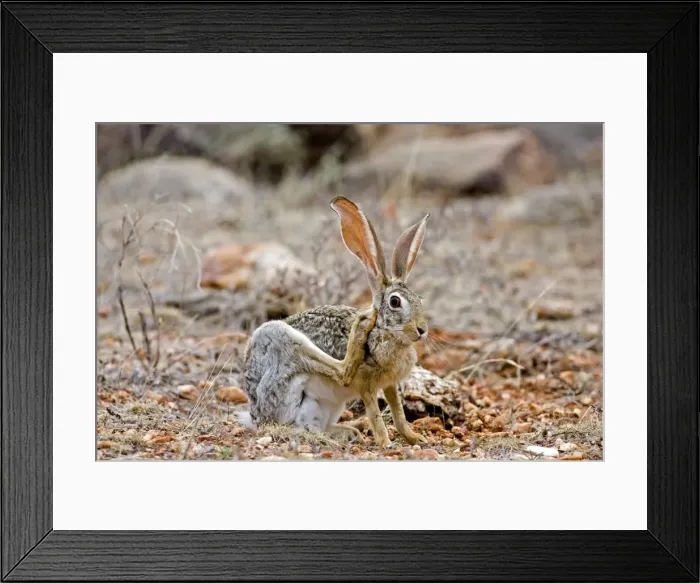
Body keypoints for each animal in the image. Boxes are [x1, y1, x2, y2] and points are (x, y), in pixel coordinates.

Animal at [240, 196, 430, 448]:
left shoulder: (390, 384)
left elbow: (399, 413)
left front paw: (415, 437)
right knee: (341, 373)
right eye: (395, 302)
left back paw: (350, 432)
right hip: (279, 341)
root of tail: (255, 415)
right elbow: (375, 415)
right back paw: (361, 326)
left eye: (420, 299)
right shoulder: (366, 386)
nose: (422, 330)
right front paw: (385, 443)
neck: (385, 332)